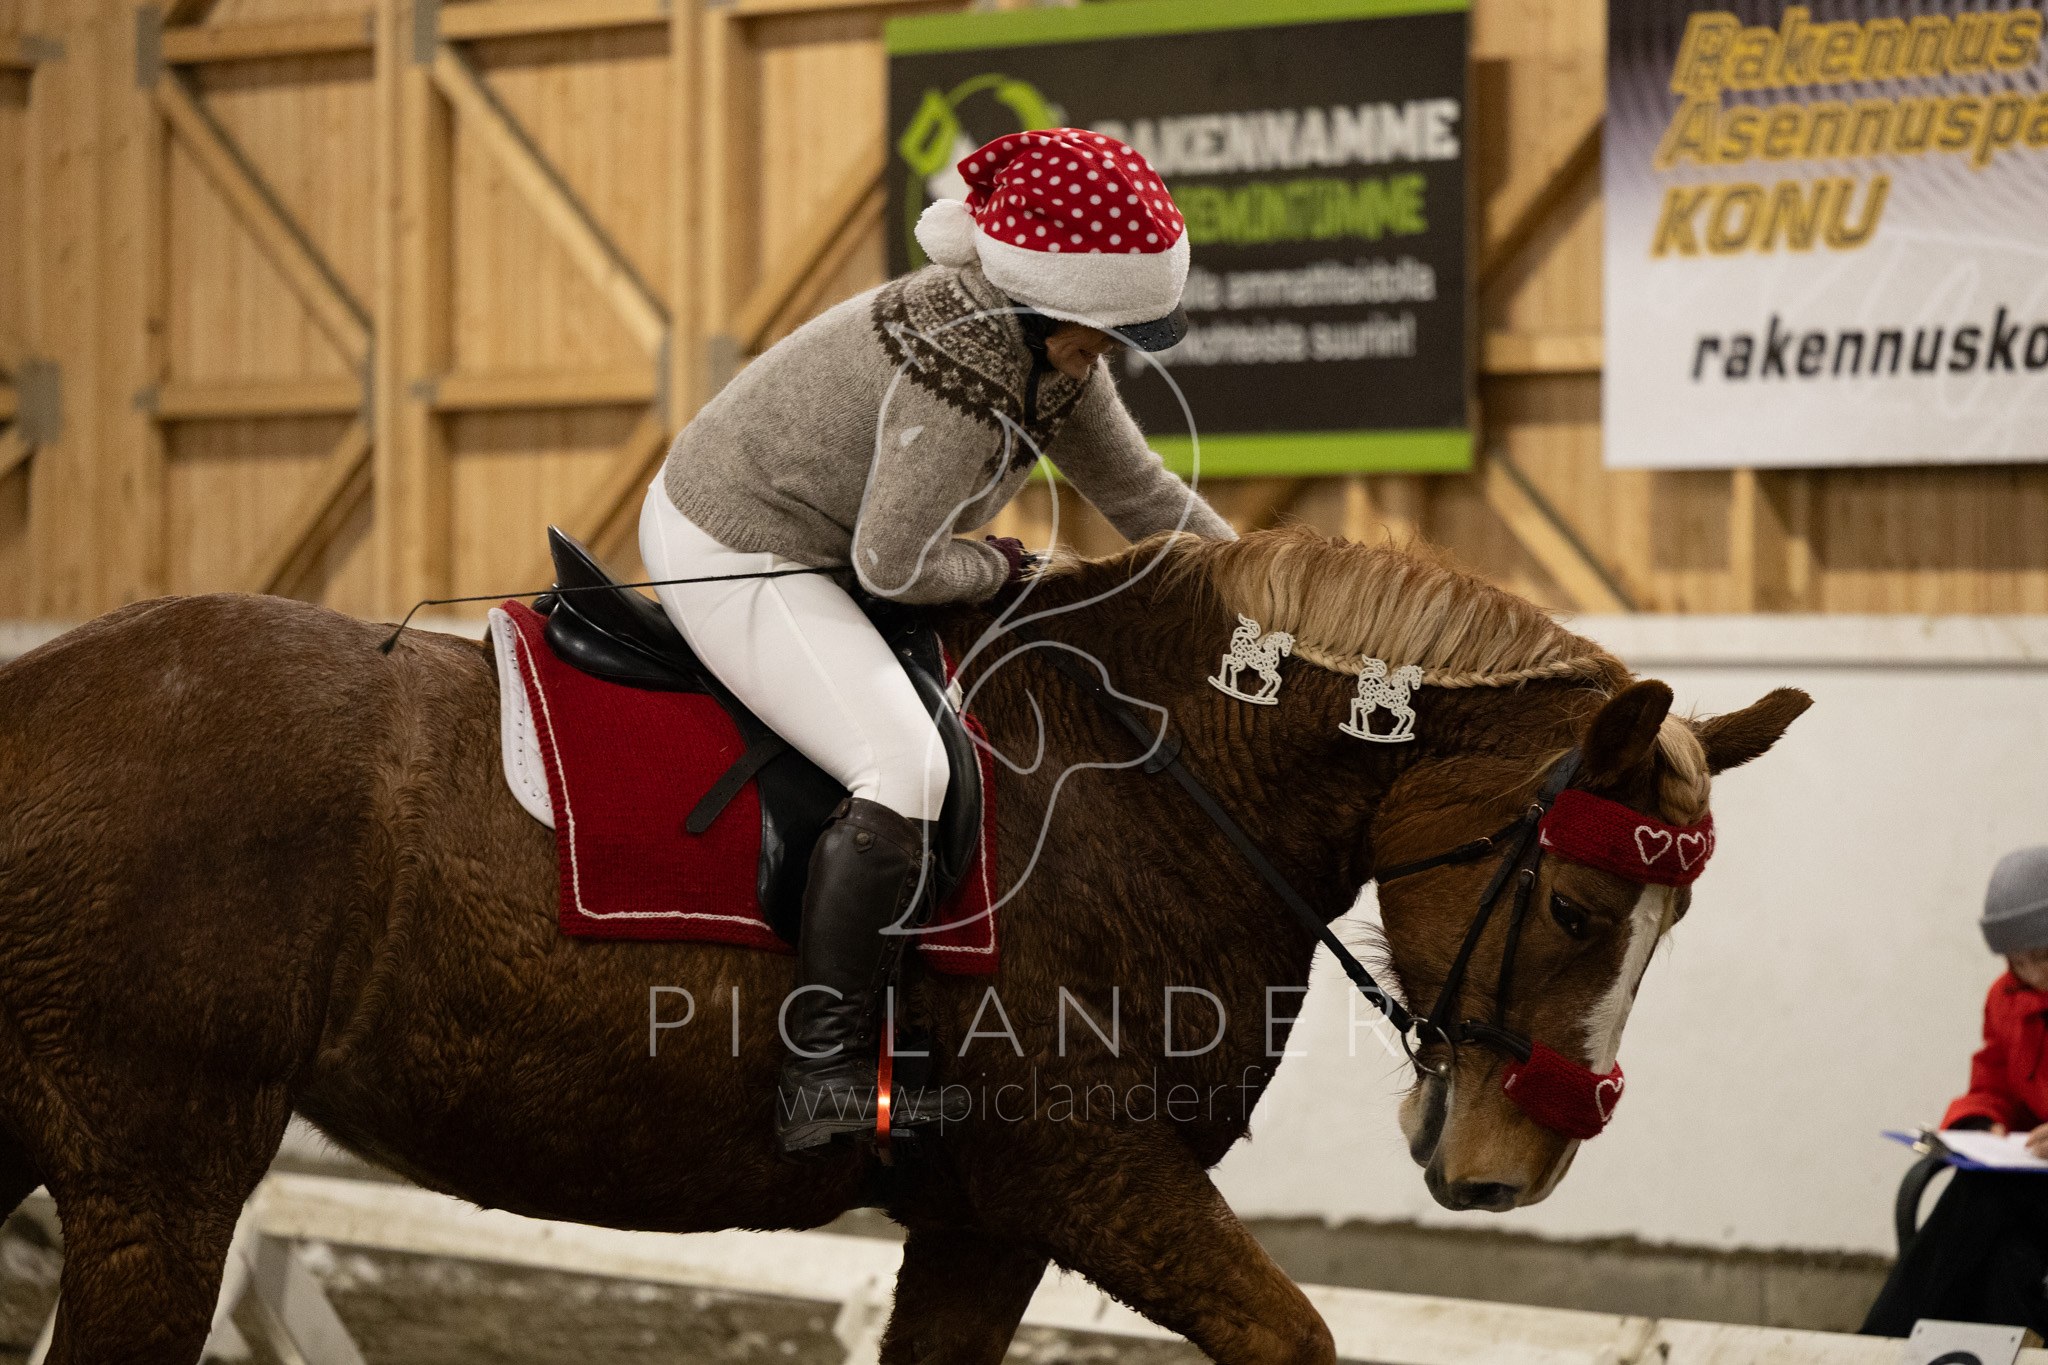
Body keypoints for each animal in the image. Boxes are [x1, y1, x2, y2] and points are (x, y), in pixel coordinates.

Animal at [0, 526, 1808, 1364]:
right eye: (1577, 910)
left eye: (1669, 926)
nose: (1509, 1170)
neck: (1156, 780)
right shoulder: (1094, 1178)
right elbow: (1293, 1332)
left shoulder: (983, 1222)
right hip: (159, 1172)